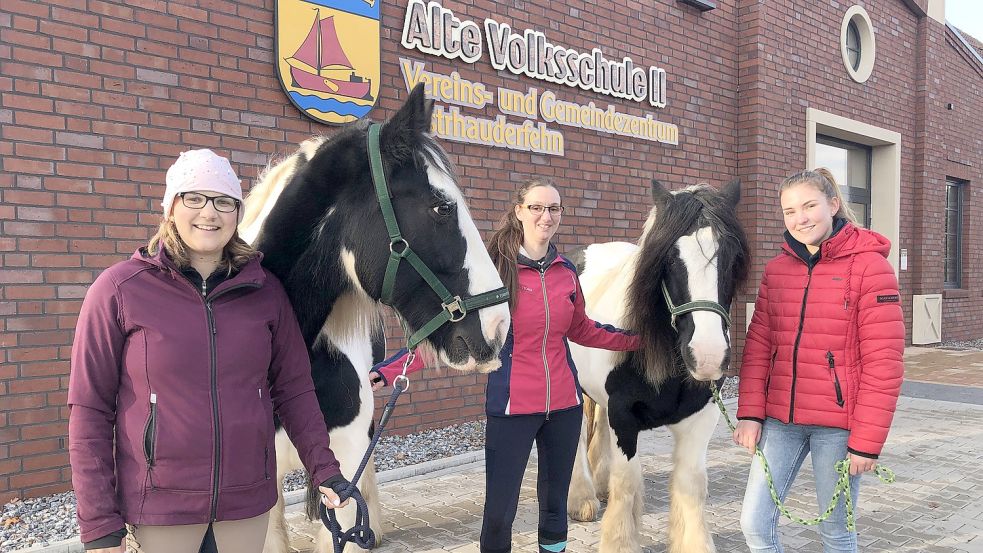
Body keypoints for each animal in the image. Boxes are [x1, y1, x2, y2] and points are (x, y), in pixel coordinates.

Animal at [564, 180, 748, 552]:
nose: (708, 355)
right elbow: (626, 483)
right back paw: (582, 499)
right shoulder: (625, 418)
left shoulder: (701, 417)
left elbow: (691, 484)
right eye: (669, 258)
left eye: (732, 255)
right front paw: (619, 542)